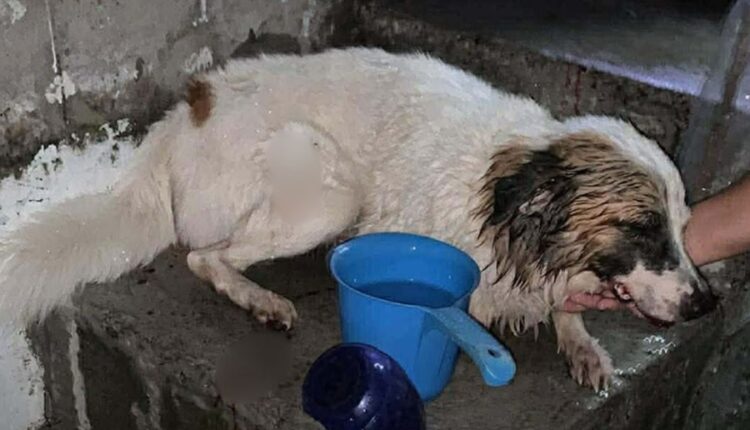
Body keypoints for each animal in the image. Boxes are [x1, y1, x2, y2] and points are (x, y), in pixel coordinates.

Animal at [0, 47, 717, 390]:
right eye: (643, 228)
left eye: (683, 227)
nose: (707, 305)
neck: (508, 203)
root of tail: (180, 120)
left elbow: (564, 307)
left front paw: (584, 343)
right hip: (331, 193)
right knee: (207, 256)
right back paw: (259, 299)